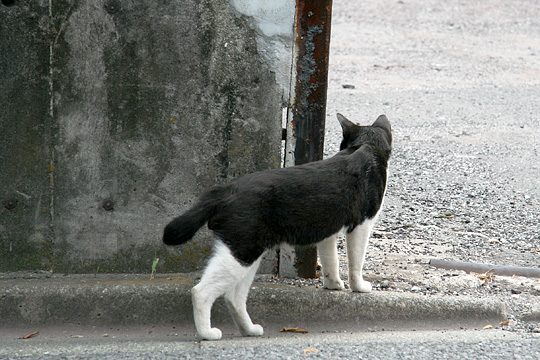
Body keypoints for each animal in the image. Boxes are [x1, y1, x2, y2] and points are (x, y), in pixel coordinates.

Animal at [162, 113, 390, 340]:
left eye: (343, 143)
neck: (366, 145)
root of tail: (226, 189)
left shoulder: (328, 230)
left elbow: (330, 260)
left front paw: (333, 285)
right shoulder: (362, 224)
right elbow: (356, 262)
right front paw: (359, 287)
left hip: (247, 253)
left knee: (233, 297)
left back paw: (249, 330)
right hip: (243, 251)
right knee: (201, 291)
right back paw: (207, 333)